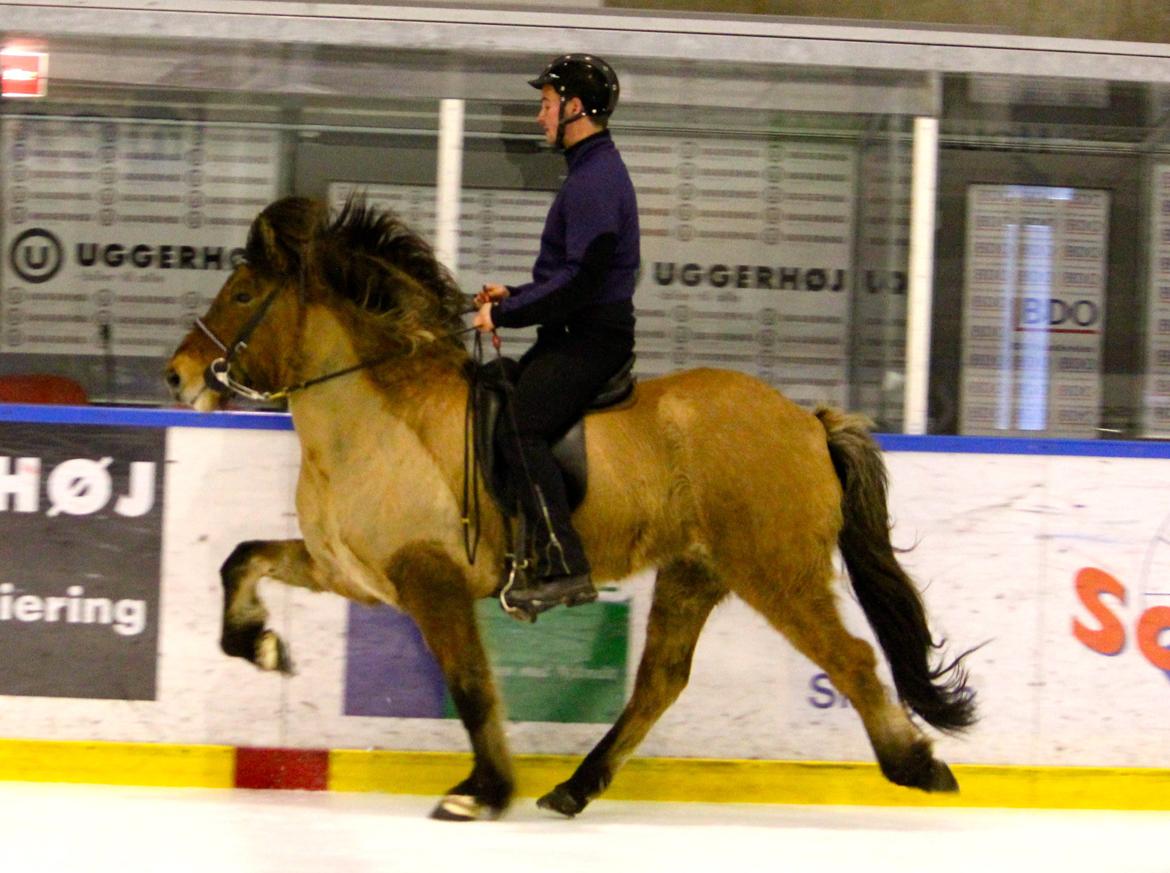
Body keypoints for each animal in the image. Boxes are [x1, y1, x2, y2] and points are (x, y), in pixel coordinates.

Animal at [160, 194, 973, 819]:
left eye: (241, 294)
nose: (178, 375)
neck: (371, 416)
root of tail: (807, 420)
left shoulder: (431, 579)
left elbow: (471, 685)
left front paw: (482, 791)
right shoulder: (348, 572)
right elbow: (242, 559)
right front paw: (261, 644)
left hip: (777, 570)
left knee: (852, 658)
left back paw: (917, 764)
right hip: (697, 570)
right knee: (661, 680)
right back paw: (576, 787)